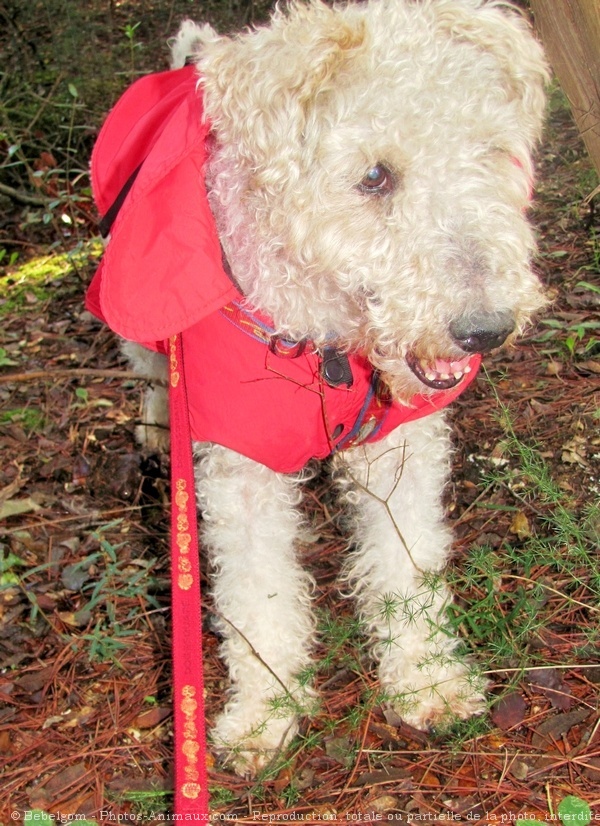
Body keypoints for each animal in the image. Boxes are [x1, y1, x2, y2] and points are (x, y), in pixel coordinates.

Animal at [85, 0, 548, 772]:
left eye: (489, 152)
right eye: (374, 177)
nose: (486, 330)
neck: (325, 338)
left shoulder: (397, 449)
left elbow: (405, 565)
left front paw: (427, 680)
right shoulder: (240, 467)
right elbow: (258, 594)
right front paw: (262, 716)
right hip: (133, 307)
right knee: (146, 367)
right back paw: (155, 424)